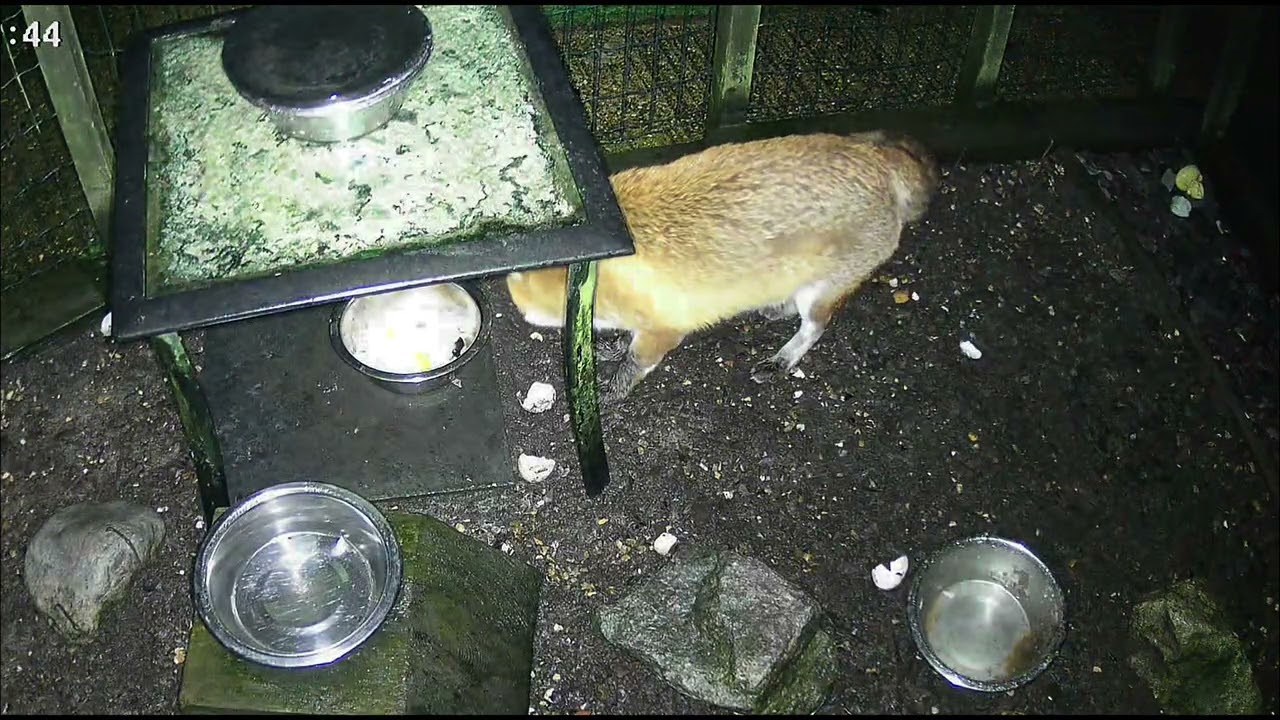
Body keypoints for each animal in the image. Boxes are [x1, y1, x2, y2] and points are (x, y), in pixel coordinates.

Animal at [505, 130, 940, 406]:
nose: (518, 315)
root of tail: (881, 159)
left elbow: (636, 361)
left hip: (819, 294)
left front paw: (614, 389)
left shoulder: (665, 329)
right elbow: (624, 341)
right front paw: (611, 346)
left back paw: (783, 359)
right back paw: (773, 310)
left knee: (815, 327)